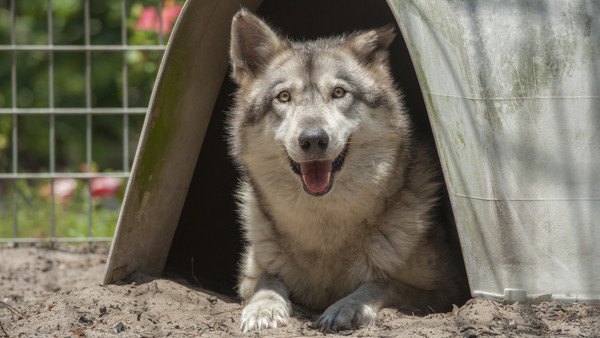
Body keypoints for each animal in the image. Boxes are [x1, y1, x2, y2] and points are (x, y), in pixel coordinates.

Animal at [227, 7, 466, 332]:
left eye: (339, 92)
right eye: (284, 97)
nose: (313, 139)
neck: (324, 229)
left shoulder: (446, 291)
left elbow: (382, 282)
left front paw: (346, 307)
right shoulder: (250, 274)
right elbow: (268, 280)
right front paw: (263, 309)